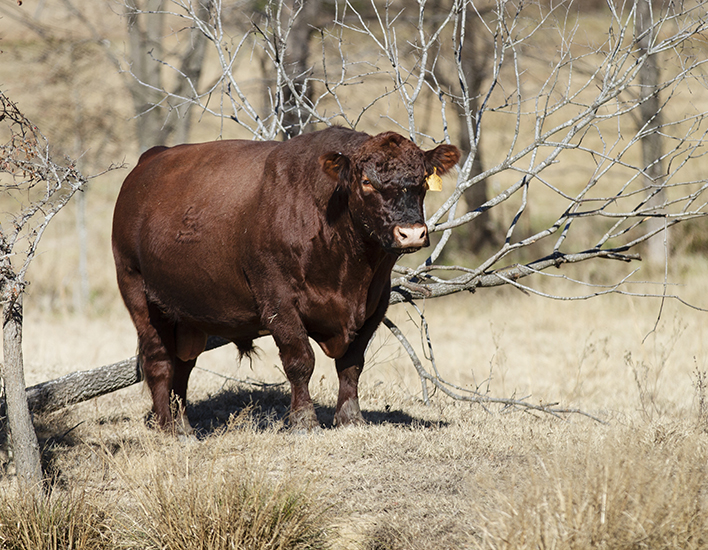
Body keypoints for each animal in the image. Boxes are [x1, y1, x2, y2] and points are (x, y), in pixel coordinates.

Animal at [110, 127, 460, 434]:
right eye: (366, 181)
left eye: (422, 180)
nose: (411, 233)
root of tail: (149, 161)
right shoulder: (278, 301)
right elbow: (300, 360)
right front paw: (304, 420)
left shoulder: (375, 302)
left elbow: (351, 363)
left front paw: (350, 418)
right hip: (137, 292)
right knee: (159, 361)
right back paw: (168, 427)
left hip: (187, 314)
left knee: (182, 366)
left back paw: (182, 424)